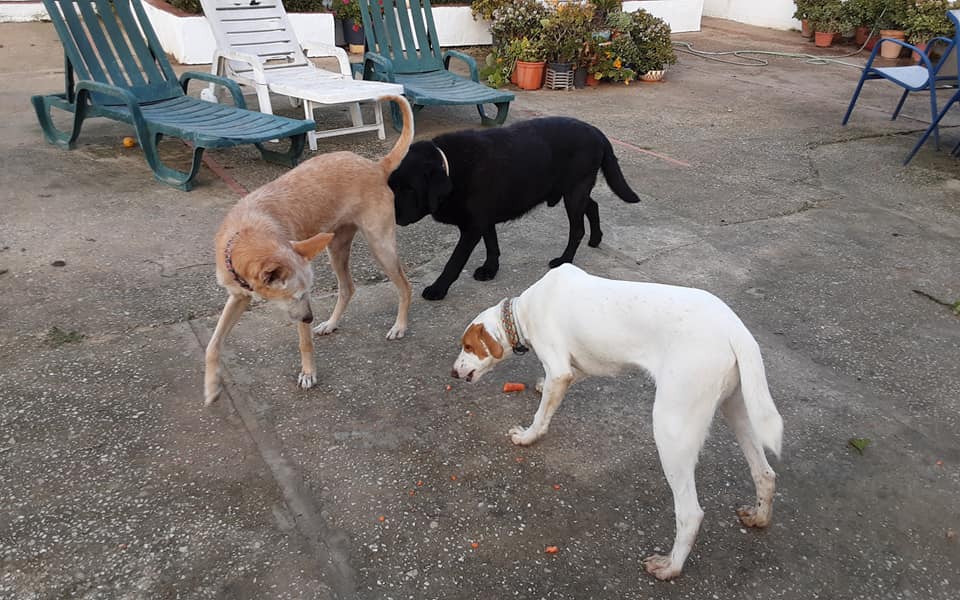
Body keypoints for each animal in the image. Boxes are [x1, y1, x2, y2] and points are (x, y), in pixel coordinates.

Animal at [203, 95, 415, 406]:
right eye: (294, 296)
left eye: (307, 294)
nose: (310, 318)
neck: (248, 232)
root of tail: (375, 166)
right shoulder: (238, 296)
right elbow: (213, 344)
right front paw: (211, 386)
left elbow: (304, 343)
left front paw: (308, 373)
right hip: (335, 248)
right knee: (348, 287)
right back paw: (330, 324)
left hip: (381, 247)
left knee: (405, 285)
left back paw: (399, 326)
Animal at [388, 116, 640, 300]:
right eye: (392, 186)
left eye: (410, 189)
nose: (394, 216)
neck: (451, 167)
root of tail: (596, 131)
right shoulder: (484, 219)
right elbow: (492, 245)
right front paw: (490, 269)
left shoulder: (472, 227)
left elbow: (454, 262)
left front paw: (438, 289)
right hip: (573, 191)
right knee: (593, 205)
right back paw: (596, 238)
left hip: (574, 192)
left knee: (577, 229)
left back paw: (564, 259)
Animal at [452, 264, 784, 580]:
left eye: (467, 346)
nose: (453, 372)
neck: (525, 311)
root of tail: (736, 331)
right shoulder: (577, 369)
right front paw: (538, 387)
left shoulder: (560, 370)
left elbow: (541, 412)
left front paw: (528, 436)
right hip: (738, 409)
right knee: (764, 473)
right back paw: (759, 516)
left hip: (672, 428)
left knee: (690, 513)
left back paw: (670, 567)